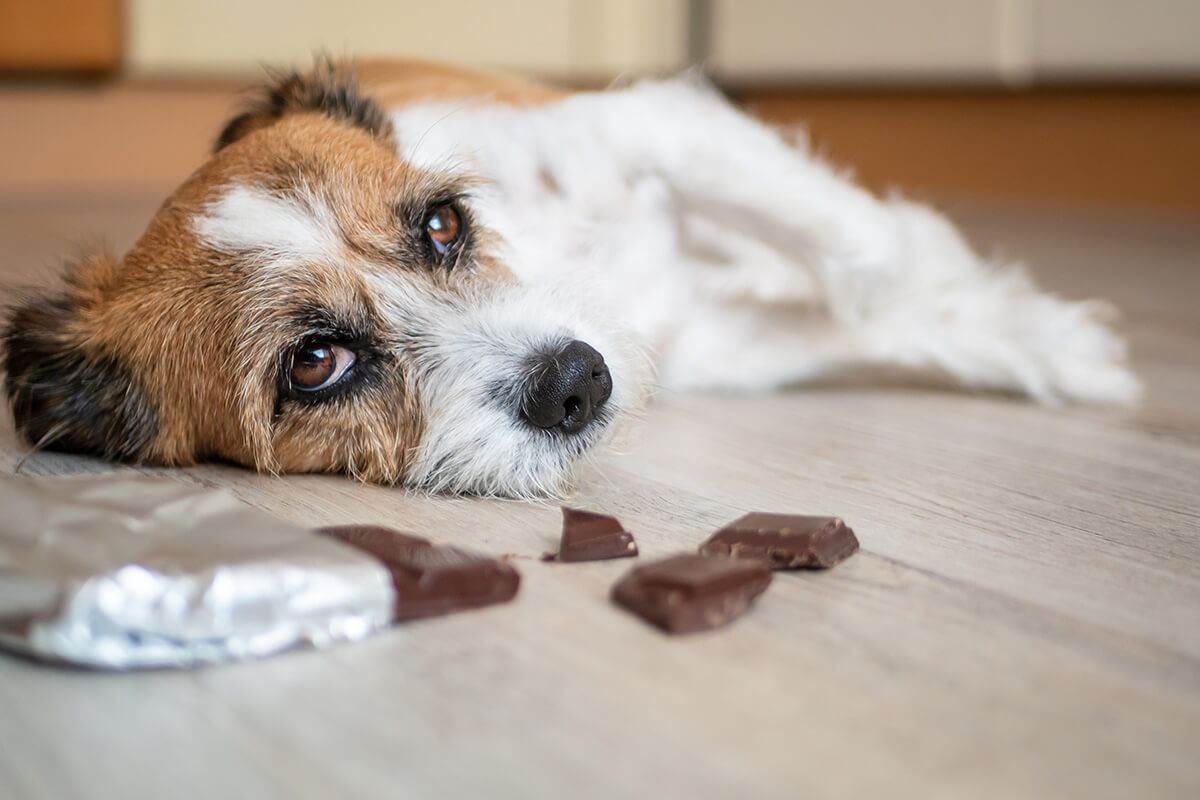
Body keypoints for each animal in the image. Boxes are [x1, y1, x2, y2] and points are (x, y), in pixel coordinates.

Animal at [2, 59, 1142, 496]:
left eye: (444, 223)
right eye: (314, 363)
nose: (577, 382)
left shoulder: (652, 125)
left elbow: (866, 254)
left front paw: (1036, 330)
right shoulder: (717, 345)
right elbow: (862, 310)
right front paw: (1034, 335)